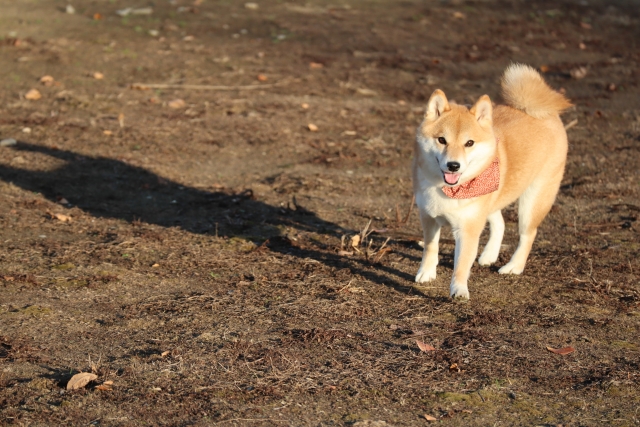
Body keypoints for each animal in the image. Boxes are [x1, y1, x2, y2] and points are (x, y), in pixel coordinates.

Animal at [412, 63, 572, 300]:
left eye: (469, 143)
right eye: (441, 140)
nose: (453, 165)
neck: (448, 189)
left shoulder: (468, 229)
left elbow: (461, 264)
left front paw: (459, 289)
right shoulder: (429, 216)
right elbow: (430, 248)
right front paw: (426, 272)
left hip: (531, 202)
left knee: (528, 234)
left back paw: (514, 266)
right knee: (500, 222)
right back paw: (489, 255)